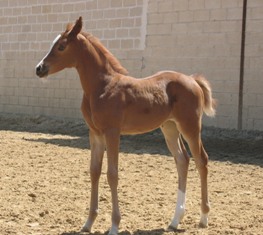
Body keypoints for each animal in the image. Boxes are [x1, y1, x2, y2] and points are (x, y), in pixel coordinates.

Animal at [35, 17, 217, 234]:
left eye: (61, 46)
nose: (39, 68)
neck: (102, 86)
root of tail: (192, 79)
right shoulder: (95, 133)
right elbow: (94, 171)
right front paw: (88, 223)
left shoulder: (112, 132)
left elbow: (112, 174)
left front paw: (114, 225)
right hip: (170, 127)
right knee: (183, 160)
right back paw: (174, 220)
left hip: (190, 126)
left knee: (201, 160)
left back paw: (204, 217)